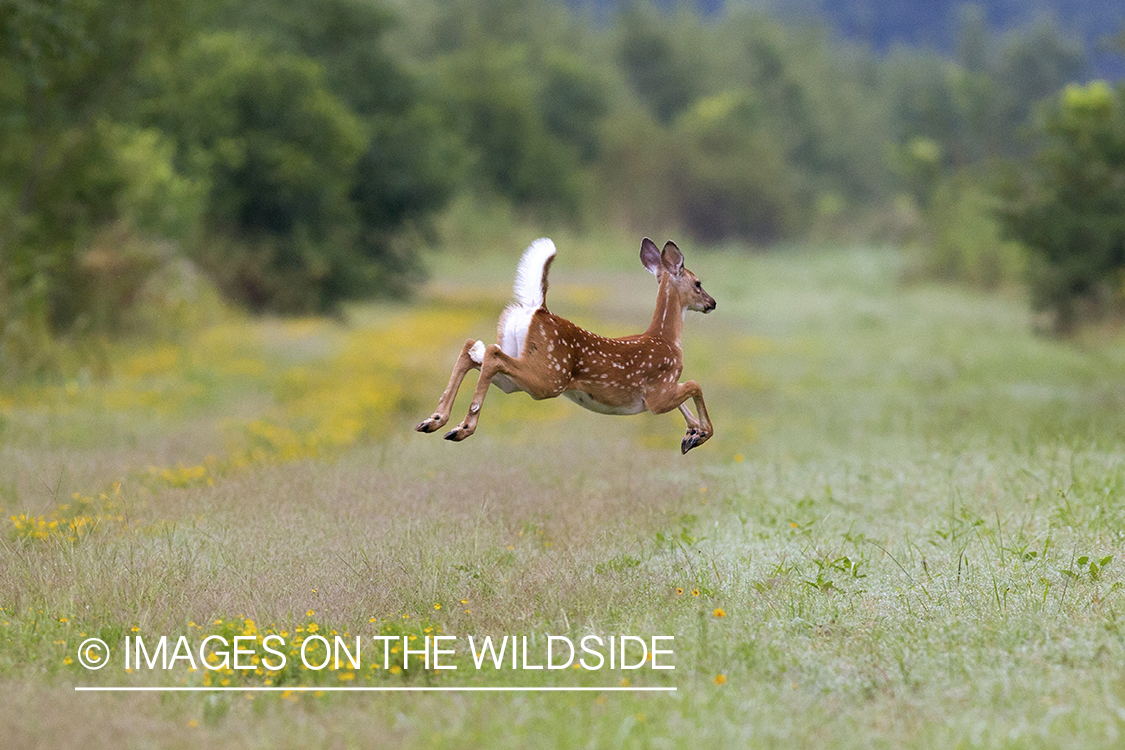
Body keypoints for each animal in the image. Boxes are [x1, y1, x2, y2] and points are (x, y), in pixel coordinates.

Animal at [415, 237, 716, 453]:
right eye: (698, 283)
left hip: (521, 374)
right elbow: (695, 385)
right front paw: (701, 434)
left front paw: (691, 435)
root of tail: (538, 309)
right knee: (491, 353)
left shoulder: (665, 390)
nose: (712, 303)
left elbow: (687, 396)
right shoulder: (657, 394)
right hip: (548, 377)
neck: (665, 339)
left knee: (474, 347)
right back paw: (463, 426)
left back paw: (435, 420)